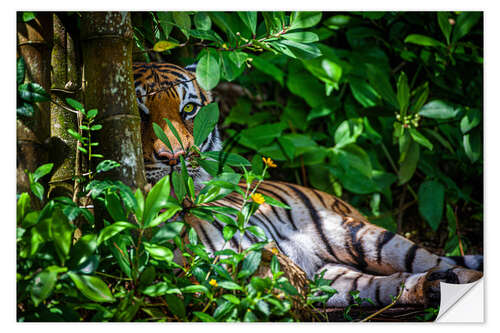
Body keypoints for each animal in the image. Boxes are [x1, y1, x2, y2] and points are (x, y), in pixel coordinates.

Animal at [132, 61, 480, 306]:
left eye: (189, 109)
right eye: (139, 113)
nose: (174, 156)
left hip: (364, 237)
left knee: (442, 263)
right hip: (331, 272)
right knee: (384, 284)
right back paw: (433, 285)